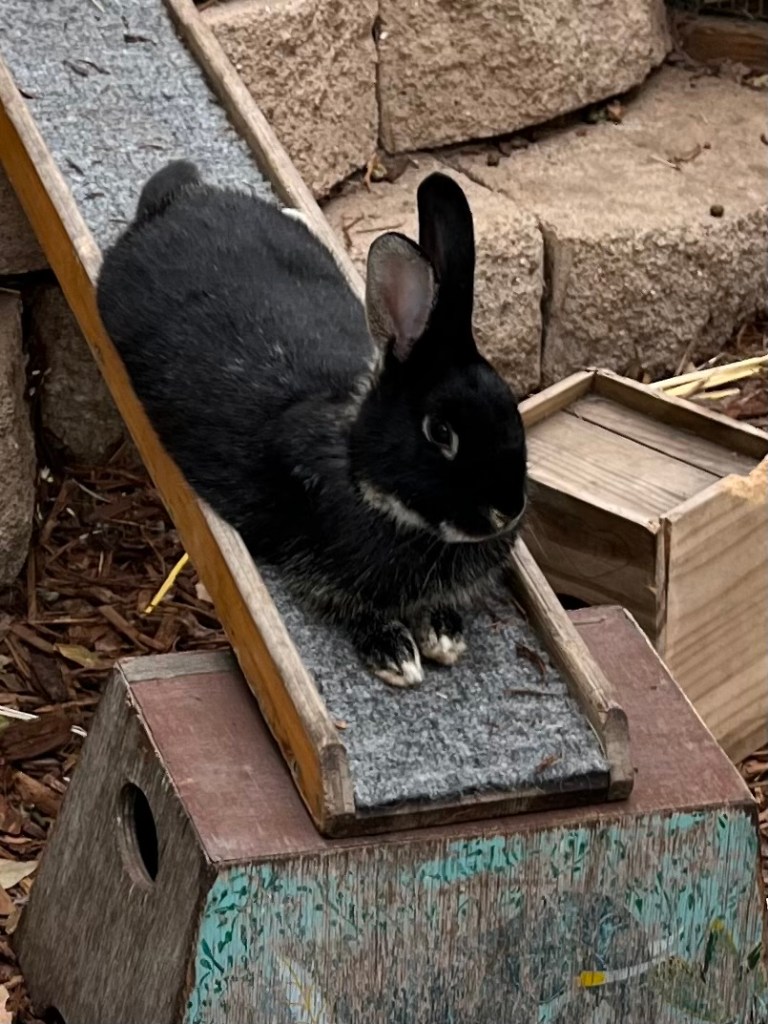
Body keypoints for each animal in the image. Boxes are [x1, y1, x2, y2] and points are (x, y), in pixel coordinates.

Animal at [96, 160, 527, 687]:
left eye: (511, 408)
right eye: (440, 433)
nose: (506, 512)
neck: (361, 475)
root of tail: (173, 202)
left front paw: (445, 634)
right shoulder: (323, 571)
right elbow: (353, 609)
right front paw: (396, 655)